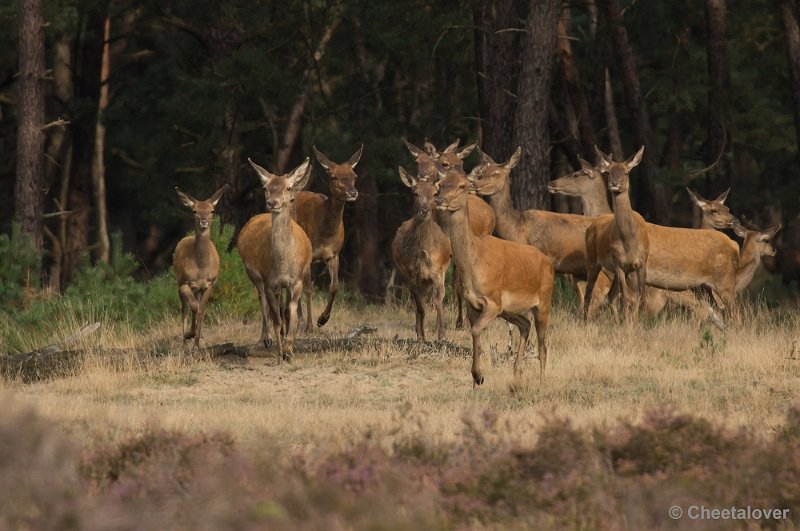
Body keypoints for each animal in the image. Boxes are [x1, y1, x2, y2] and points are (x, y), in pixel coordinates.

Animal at [173, 187, 225, 350]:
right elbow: (194, 307)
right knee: (184, 308)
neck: (201, 268)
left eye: (212, 210)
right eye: (195, 210)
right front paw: (190, 334)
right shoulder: (184, 282)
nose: (204, 222)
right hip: (179, 282)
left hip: (198, 289)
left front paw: (196, 343)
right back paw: (184, 342)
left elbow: (201, 311)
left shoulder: (210, 284)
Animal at [234, 158, 312, 358]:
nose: (272, 203)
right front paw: (279, 351)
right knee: (262, 301)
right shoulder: (269, 281)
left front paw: (289, 349)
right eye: (265, 188)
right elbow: (275, 318)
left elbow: (292, 313)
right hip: (252, 272)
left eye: (289, 187)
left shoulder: (297, 280)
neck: (283, 265)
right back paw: (265, 338)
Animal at [294, 145, 362, 328]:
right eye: (334, 177)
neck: (325, 234)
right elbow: (309, 289)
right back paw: (299, 321)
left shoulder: (334, 253)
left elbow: (335, 286)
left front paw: (322, 319)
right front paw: (310, 325)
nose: (353, 192)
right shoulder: (309, 255)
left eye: (354, 176)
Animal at [392, 167, 454, 340]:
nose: (425, 210)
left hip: (432, 278)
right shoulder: (411, 274)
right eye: (415, 193)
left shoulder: (437, 272)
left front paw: (442, 335)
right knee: (418, 303)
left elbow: (438, 301)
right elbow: (420, 307)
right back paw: (418, 331)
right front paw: (421, 336)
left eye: (435, 193)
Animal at [580, 145, 648, 322]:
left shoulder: (641, 263)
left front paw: (638, 323)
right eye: (609, 172)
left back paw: (617, 322)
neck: (629, 242)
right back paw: (585, 321)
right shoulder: (619, 263)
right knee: (589, 293)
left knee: (611, 295)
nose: (614, 183)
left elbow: (639, 297)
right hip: (592, 261)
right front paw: (629, 324)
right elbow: (626, 298)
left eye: (627, 172)